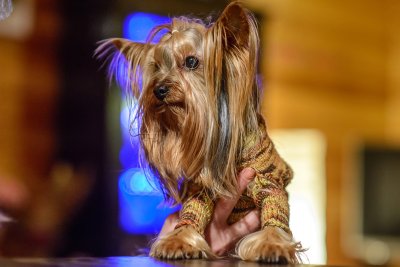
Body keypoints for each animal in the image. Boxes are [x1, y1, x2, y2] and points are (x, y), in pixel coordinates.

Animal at [97, 1, 304, 262]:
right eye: (156, 67)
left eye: (191, 62)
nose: (159, 90)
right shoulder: (201, 188)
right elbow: (192, 212)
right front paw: (178, 240)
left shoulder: (268, 181)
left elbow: (275, 214)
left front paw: (272, 244)